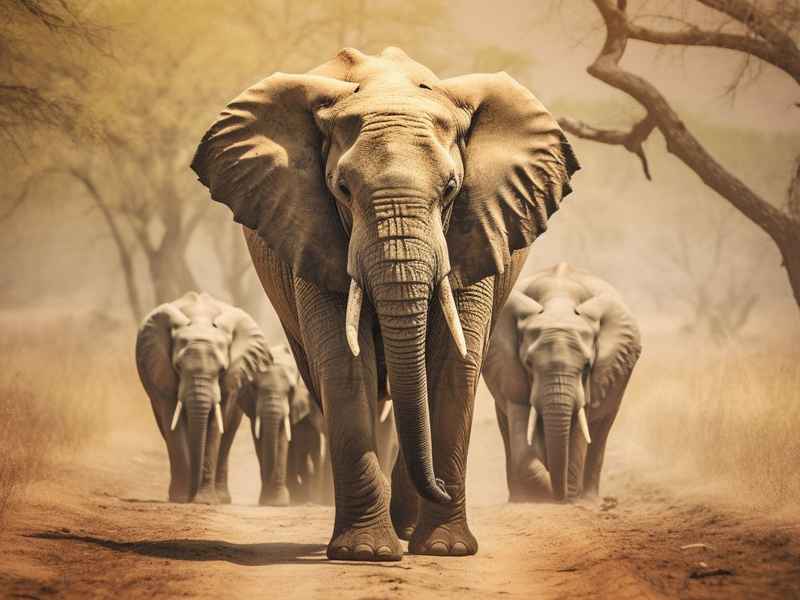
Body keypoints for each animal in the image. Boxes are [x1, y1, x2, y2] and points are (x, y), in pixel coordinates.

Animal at [135, 291, 268, 504]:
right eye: (178, 367)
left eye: (222, 370)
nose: (192, 495)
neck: (200, 320)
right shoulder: (162, 371)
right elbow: (173, 422)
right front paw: (180, 498)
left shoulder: (231, 379)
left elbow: (215, 426)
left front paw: (204, 500)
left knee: (227, 436)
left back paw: (222, 498)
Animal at [191, 47, 578, 560]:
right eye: (342, 189)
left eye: (451, 189)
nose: (439, 487)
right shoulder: (311, 229)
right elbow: (343, 362)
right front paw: (366, 554)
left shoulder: (478, 228)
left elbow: (453, 365)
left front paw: (446, 550)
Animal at [483, 263, 641, 502]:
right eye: (528, 364)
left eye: (587, 366)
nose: (559, 497)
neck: (558, 300)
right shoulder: (510, 372)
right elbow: (522, 434)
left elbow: (577, 432)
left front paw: (568, 498)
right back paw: (518, 499)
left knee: (600, 432)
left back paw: (589, 499)